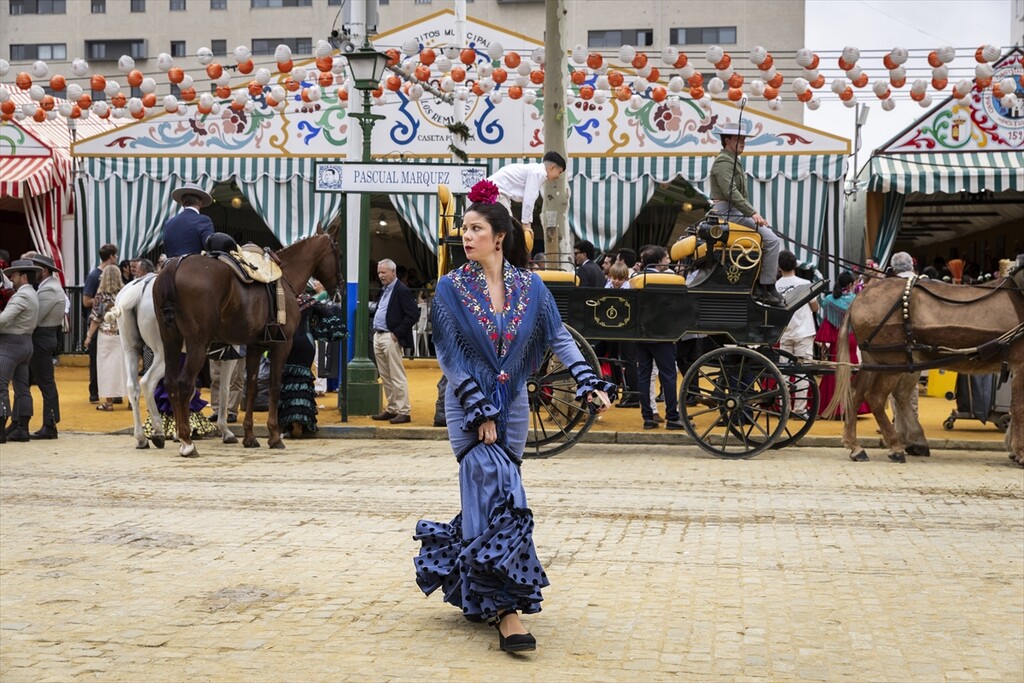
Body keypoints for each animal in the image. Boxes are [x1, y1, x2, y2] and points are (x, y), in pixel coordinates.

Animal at [108, 273, 241, 450]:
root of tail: (140, 287)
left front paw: (180, 433)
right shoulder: (229, 353)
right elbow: (224, 390)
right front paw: (225, 431)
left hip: (131, 349)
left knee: (133, 387)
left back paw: (142, 438)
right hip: (163, 354)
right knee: (147, 383)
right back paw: (158, 432)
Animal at [153, 226, 342, 457]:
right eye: (339, 253)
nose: (339, 289)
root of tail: (175, 267)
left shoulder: (254, 347)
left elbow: (251, 387)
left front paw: (250, 436)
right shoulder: (282, 345)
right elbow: (275, 386)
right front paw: (274, 436)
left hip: (170, 341)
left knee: (171, 382)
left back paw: (178, 436)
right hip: (197, 344)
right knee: (184, 384)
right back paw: (187, 442)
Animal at [827, 261, 1024, 465]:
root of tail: (861, 296)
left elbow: (1015, 406)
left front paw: (1013, 448)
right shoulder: (1020, 364)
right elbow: (1019, 407)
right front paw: (1019, 451)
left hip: (876, 361)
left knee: (858, 394)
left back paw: (856, 447)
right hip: (891, 363)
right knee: (876, 397)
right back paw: (895, 447)